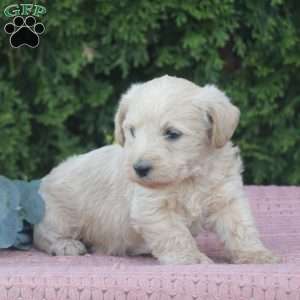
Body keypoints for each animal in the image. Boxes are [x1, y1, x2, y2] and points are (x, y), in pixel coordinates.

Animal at [34, 75, 280, 264]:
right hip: (60, 215)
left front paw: (256, 254)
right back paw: (66, 245)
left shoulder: (227, 198)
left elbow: (241, 227)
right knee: (42, 234)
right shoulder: (152, 209)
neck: (189, 177)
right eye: (132, 131)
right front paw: (191, 258)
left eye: (172, 133)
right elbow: (176, 235)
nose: (139, 168)